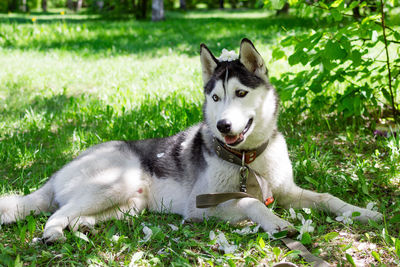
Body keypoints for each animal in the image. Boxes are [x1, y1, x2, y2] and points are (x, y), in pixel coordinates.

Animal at [0, 39, 382, 243]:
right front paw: (275, 223)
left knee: (77, 213)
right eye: (215, 97)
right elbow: (250, 202)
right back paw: (53, 232)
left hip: (129, 203)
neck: (247, 160)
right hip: (114, 183)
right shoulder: (203, 206)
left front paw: (362, 212)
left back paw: (80, 226)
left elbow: (328, 198)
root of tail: (59, 172)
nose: (224, 126)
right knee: (57, 211)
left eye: (241, 93)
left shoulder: (286, 191)